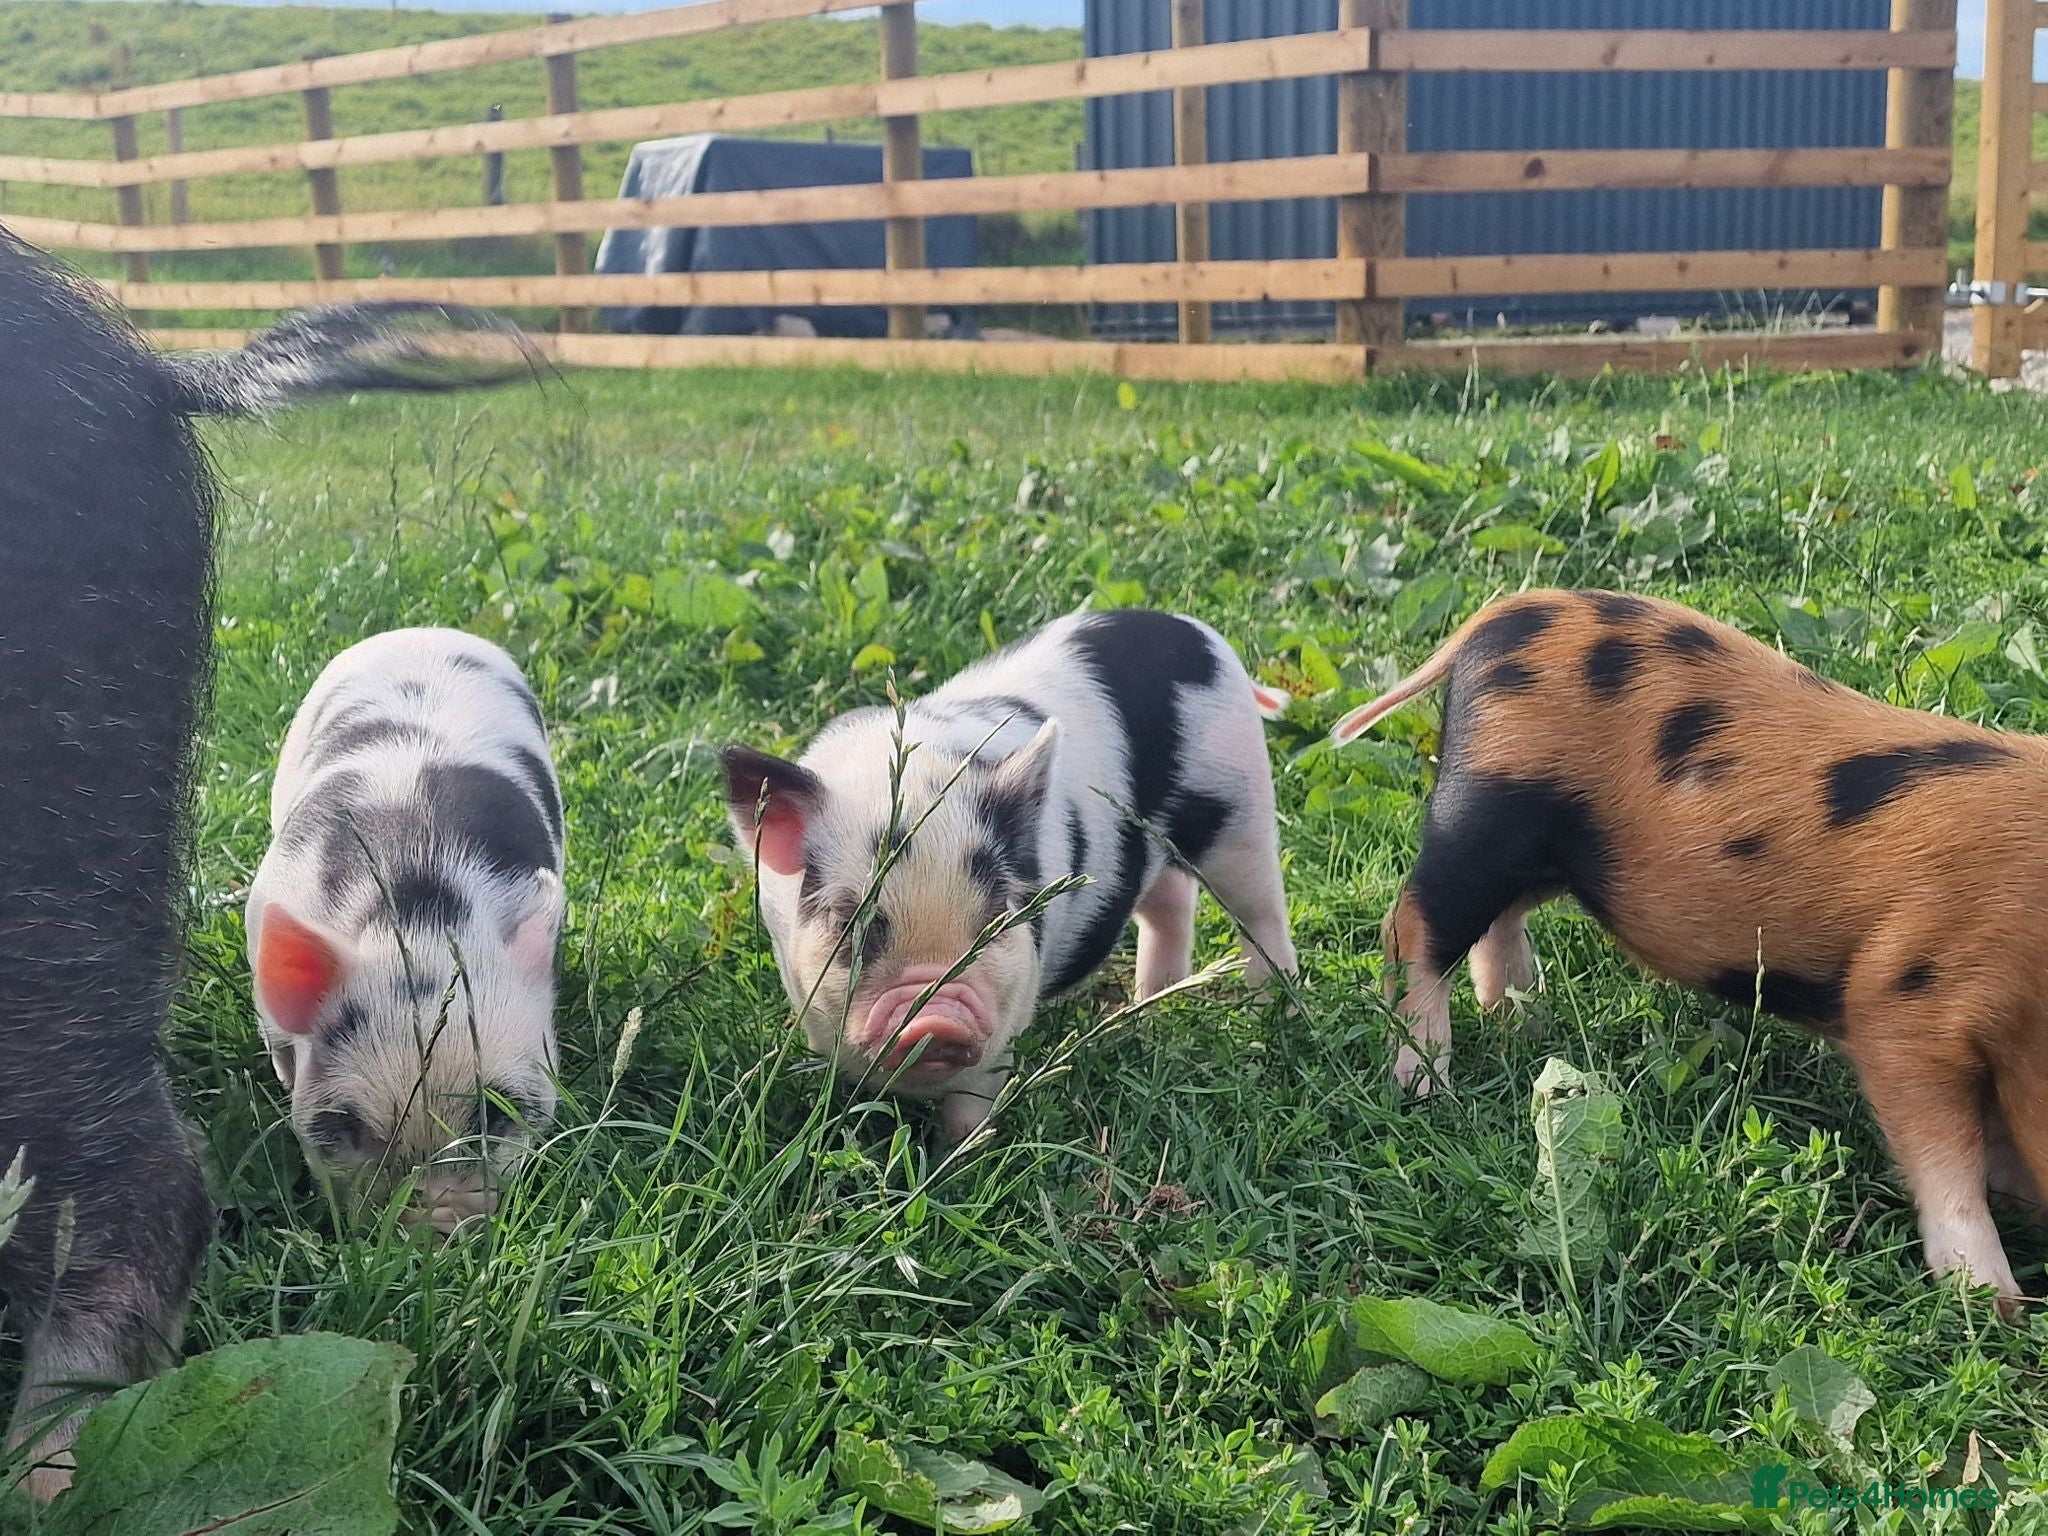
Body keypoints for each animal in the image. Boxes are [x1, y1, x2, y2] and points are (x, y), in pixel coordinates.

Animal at [722, 609, 1298, 1142]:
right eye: (851, 922)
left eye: (997, 917)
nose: (936, 1020)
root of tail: (1196, 631)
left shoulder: (1007, 1016)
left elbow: (971, 1105)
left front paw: (956, 1163)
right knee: (1170, 901)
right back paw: (1148, 1004)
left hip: (1243, 810)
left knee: (1260, 912)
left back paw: (1274, 1008)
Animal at [1332, 587, 2048, 1316]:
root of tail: (1504, 614)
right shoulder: (1903, 996)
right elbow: (1942, 1153)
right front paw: (1997, 1304)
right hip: (1488, 808)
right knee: (1413, 924)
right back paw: (1426, 1085)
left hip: (1548, 855)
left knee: (1494, 925)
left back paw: (1527, 1028)